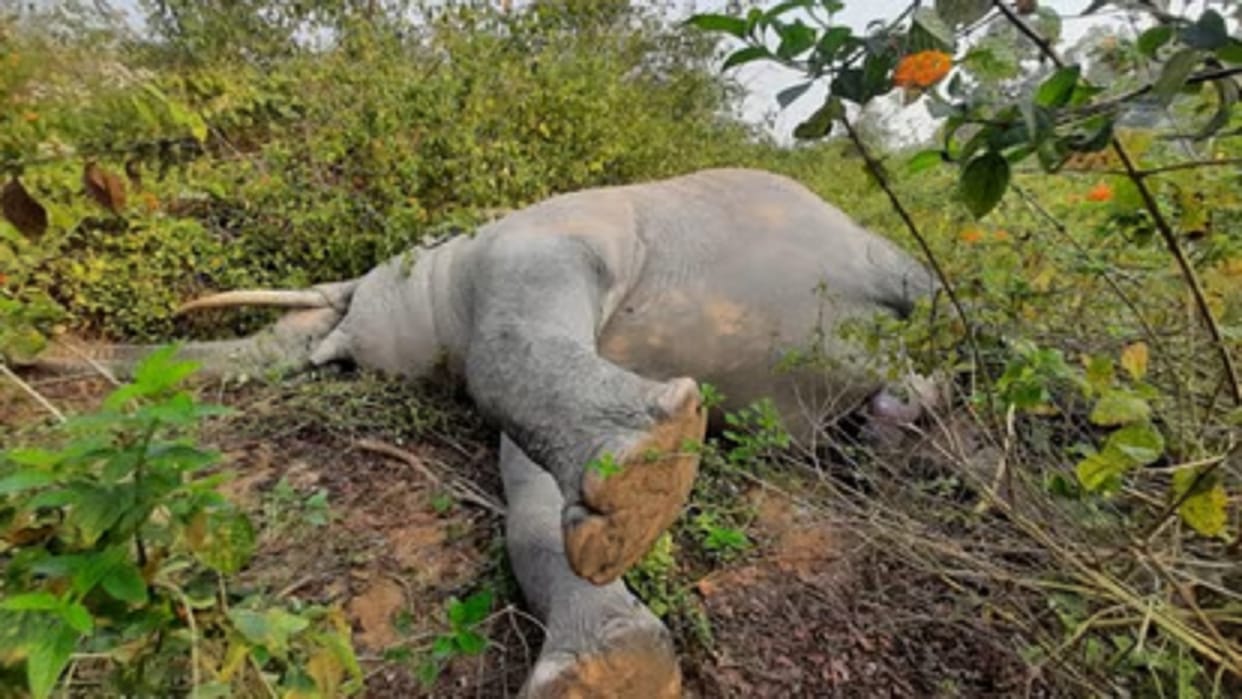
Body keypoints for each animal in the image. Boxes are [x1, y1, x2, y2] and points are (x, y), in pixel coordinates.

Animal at [27, 167, 940, 697]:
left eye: (349, 301)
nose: (38, 357)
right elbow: (530, 501)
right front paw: (615, 669)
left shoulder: (539, 240)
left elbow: (507, 349)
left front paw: (650, 463)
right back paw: (894, 426)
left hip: (879, 250)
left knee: (929, 298)